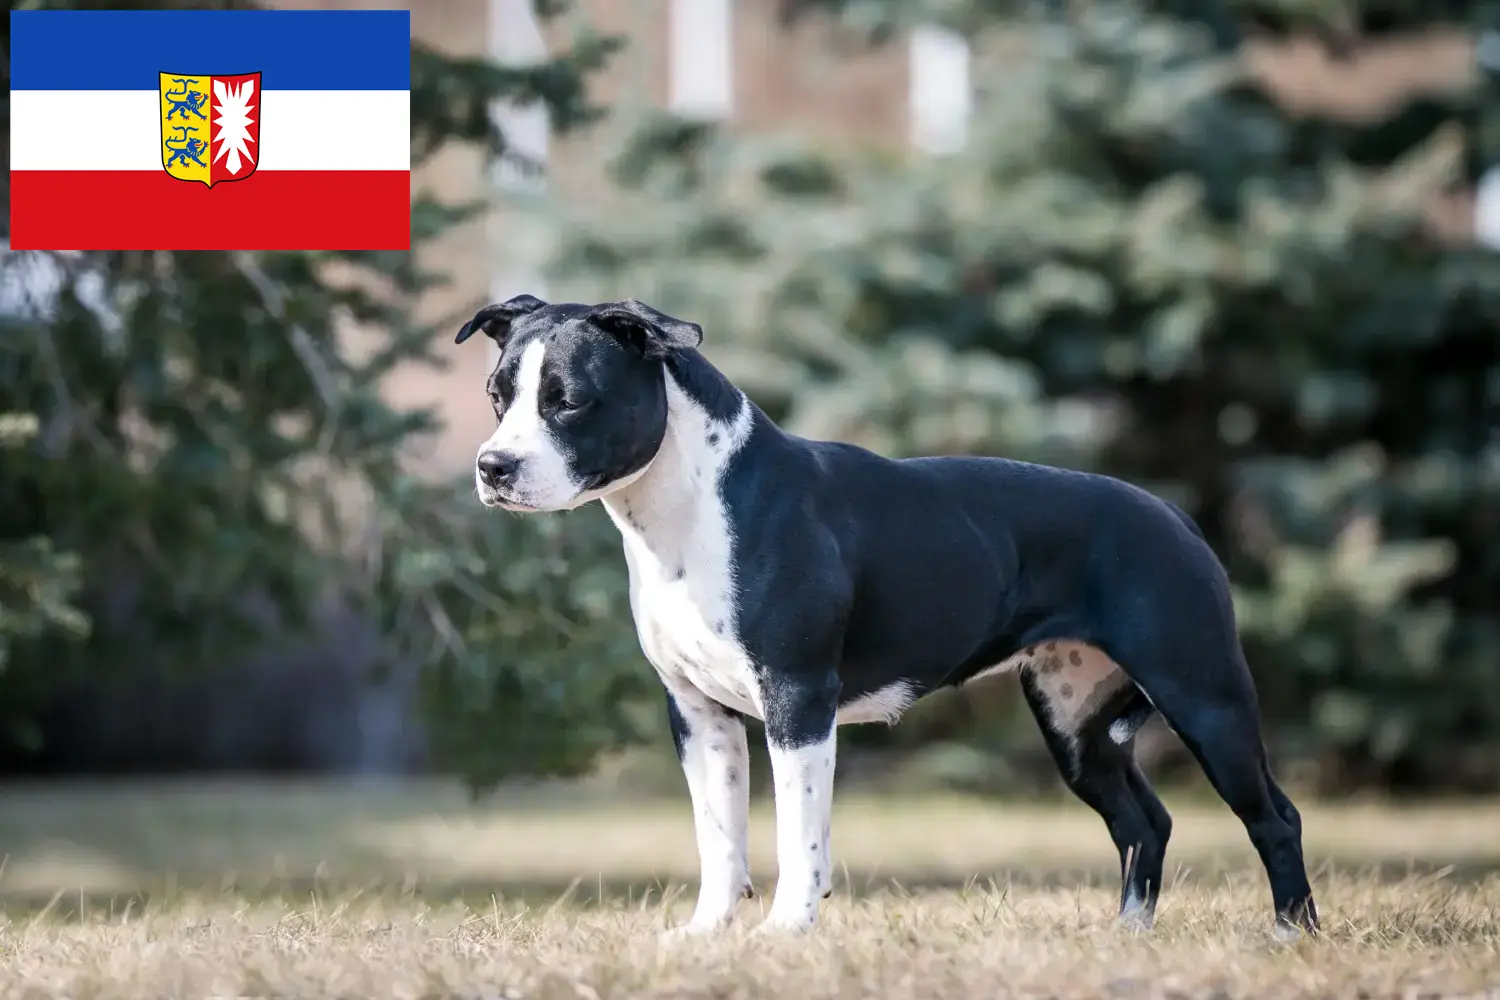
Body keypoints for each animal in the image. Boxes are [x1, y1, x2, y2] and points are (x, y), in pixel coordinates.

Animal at [453, 295, 1314, 941]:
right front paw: (705, 936)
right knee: (1144, 822)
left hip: (1205, 697)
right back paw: (1128, 933)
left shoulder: (797, 699)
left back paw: (1290, 934)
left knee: (1274, 816)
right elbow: (718, 836)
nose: (493, 466)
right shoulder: (698, 714)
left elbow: (799, 831)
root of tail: (1175, 516)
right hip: (1078, 728)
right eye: (497, 397)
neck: (684, 505)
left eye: (569, 401)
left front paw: (785, 933)